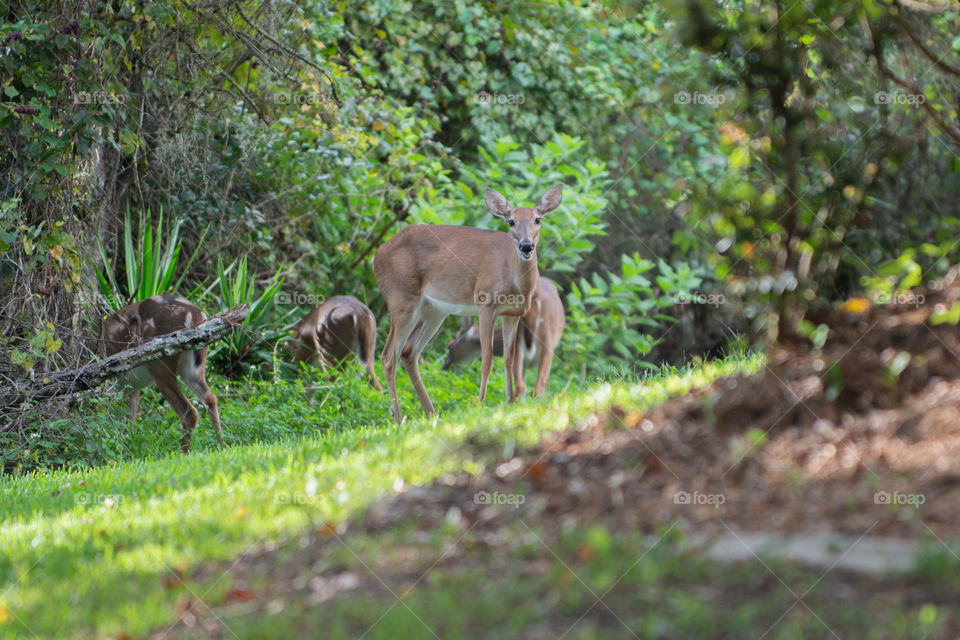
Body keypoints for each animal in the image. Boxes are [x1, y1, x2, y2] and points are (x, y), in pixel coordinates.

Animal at [98, 294, 223, 453]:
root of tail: (195, 314)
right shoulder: (131, 385)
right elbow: (128, 419)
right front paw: (126, 447)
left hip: (160, 365)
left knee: (189, 412)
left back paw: (184, 453)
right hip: (194, 366)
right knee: (210, 398)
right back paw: (222, 445)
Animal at [374, 184, 563, 424]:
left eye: (538, 219)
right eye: (511, 221)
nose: (526, 246)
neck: (513, 281)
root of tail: (377, 254)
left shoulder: (513, 314)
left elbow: (508, 360)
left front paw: (509, 404)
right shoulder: (486, 303)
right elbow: (487, 360)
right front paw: (481, 405)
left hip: (434, 310)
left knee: (409, 352)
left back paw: (432, 414)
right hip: (401, 298)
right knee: (388, 355)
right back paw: (399, 419)